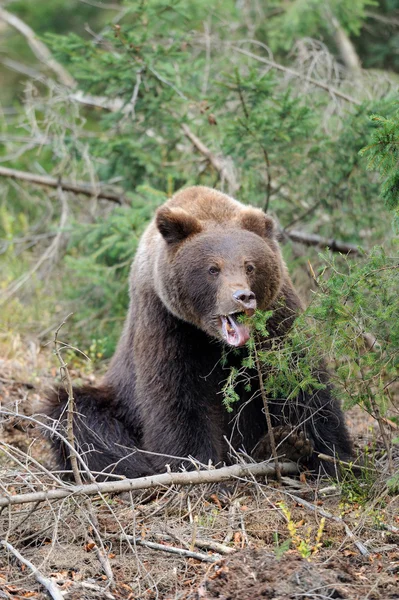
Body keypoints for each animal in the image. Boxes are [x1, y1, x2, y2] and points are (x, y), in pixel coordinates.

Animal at [47, 186, 352, 478]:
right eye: (213, 269)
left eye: (250, 265)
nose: (243, 297)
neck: (213, 340)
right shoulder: (167, 321)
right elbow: (177, 397)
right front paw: (198, 466)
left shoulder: (276, 317)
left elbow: (301, 380)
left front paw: (331, 458)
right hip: (118, 399)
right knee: (76, 416)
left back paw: (280, 445)